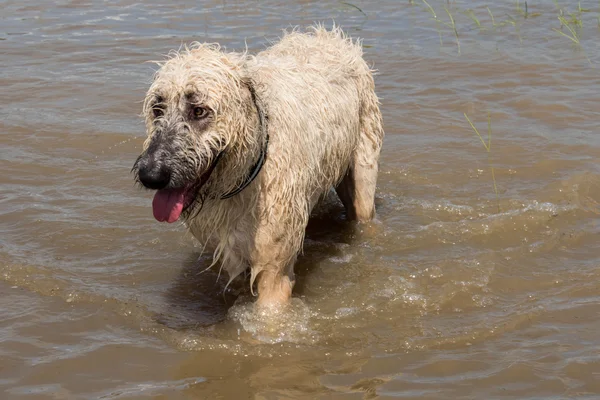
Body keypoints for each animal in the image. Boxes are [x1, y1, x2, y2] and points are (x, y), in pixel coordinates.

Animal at [132, 25, 384, 310]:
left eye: (199, 111)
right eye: (157, 108)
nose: (151, 175)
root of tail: (330, 35)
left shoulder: (273, 272)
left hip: (363, 169)